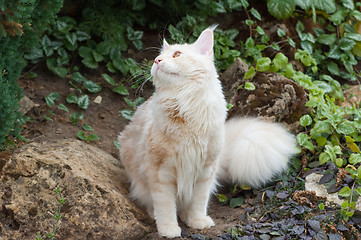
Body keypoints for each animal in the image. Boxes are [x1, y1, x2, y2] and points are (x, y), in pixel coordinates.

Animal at [118, 26, 296, 238]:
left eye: (177, 54)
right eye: (158, 56)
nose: (157, 61)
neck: (184, 104)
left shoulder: (205, 170)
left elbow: (198, 202)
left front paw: (197, 221)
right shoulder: (160, 172)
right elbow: (166, 207)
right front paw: (168, 229)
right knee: (149, 201)